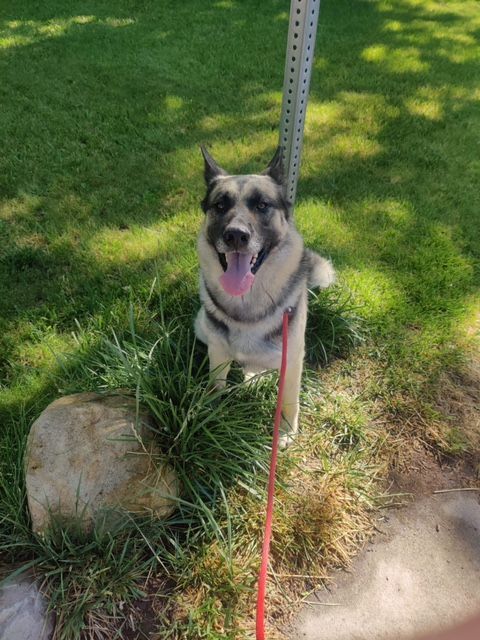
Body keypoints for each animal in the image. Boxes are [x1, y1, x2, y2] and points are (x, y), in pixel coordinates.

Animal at [194, 145, 334, 444]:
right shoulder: (218, 351)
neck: (247, 301)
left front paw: (286, 431)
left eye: (262, 205)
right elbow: (215, 386)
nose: (235, 236)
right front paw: (208, 417)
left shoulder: (291, 359)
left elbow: (289, 400)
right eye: (220, 205)